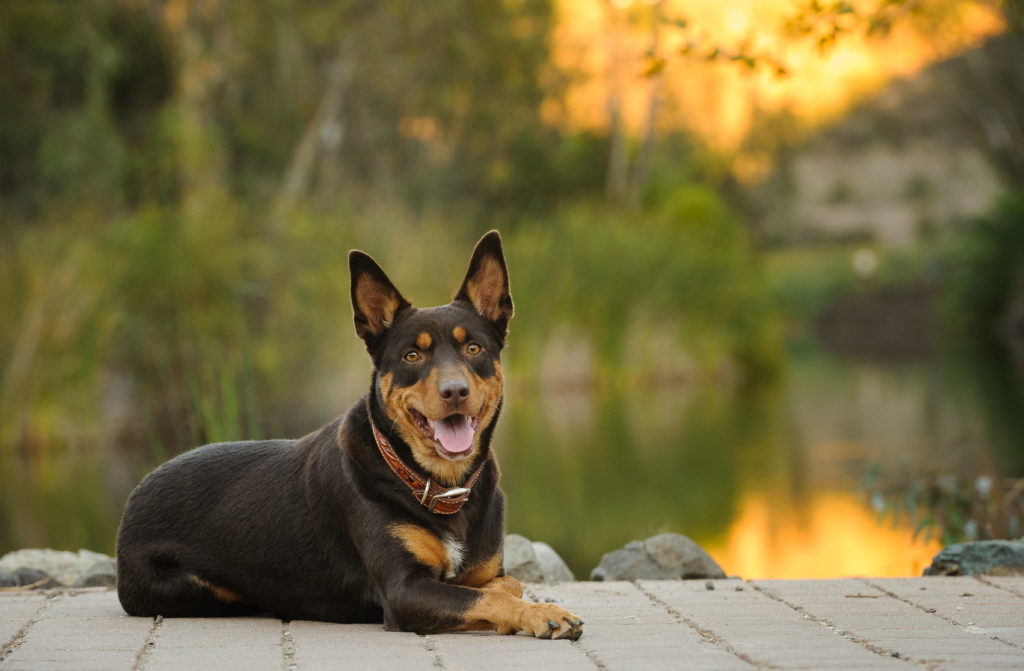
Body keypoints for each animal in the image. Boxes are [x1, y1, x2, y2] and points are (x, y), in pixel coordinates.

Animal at [115, 233, 581, 643]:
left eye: (474, 349)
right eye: (412, 355)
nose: (454, 391)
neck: (439, 487)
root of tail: (134, 496)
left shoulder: (484, 571)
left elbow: (504, 585)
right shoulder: (405, 591)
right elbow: (485, 597)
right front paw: (544, 614)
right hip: (197, 587)